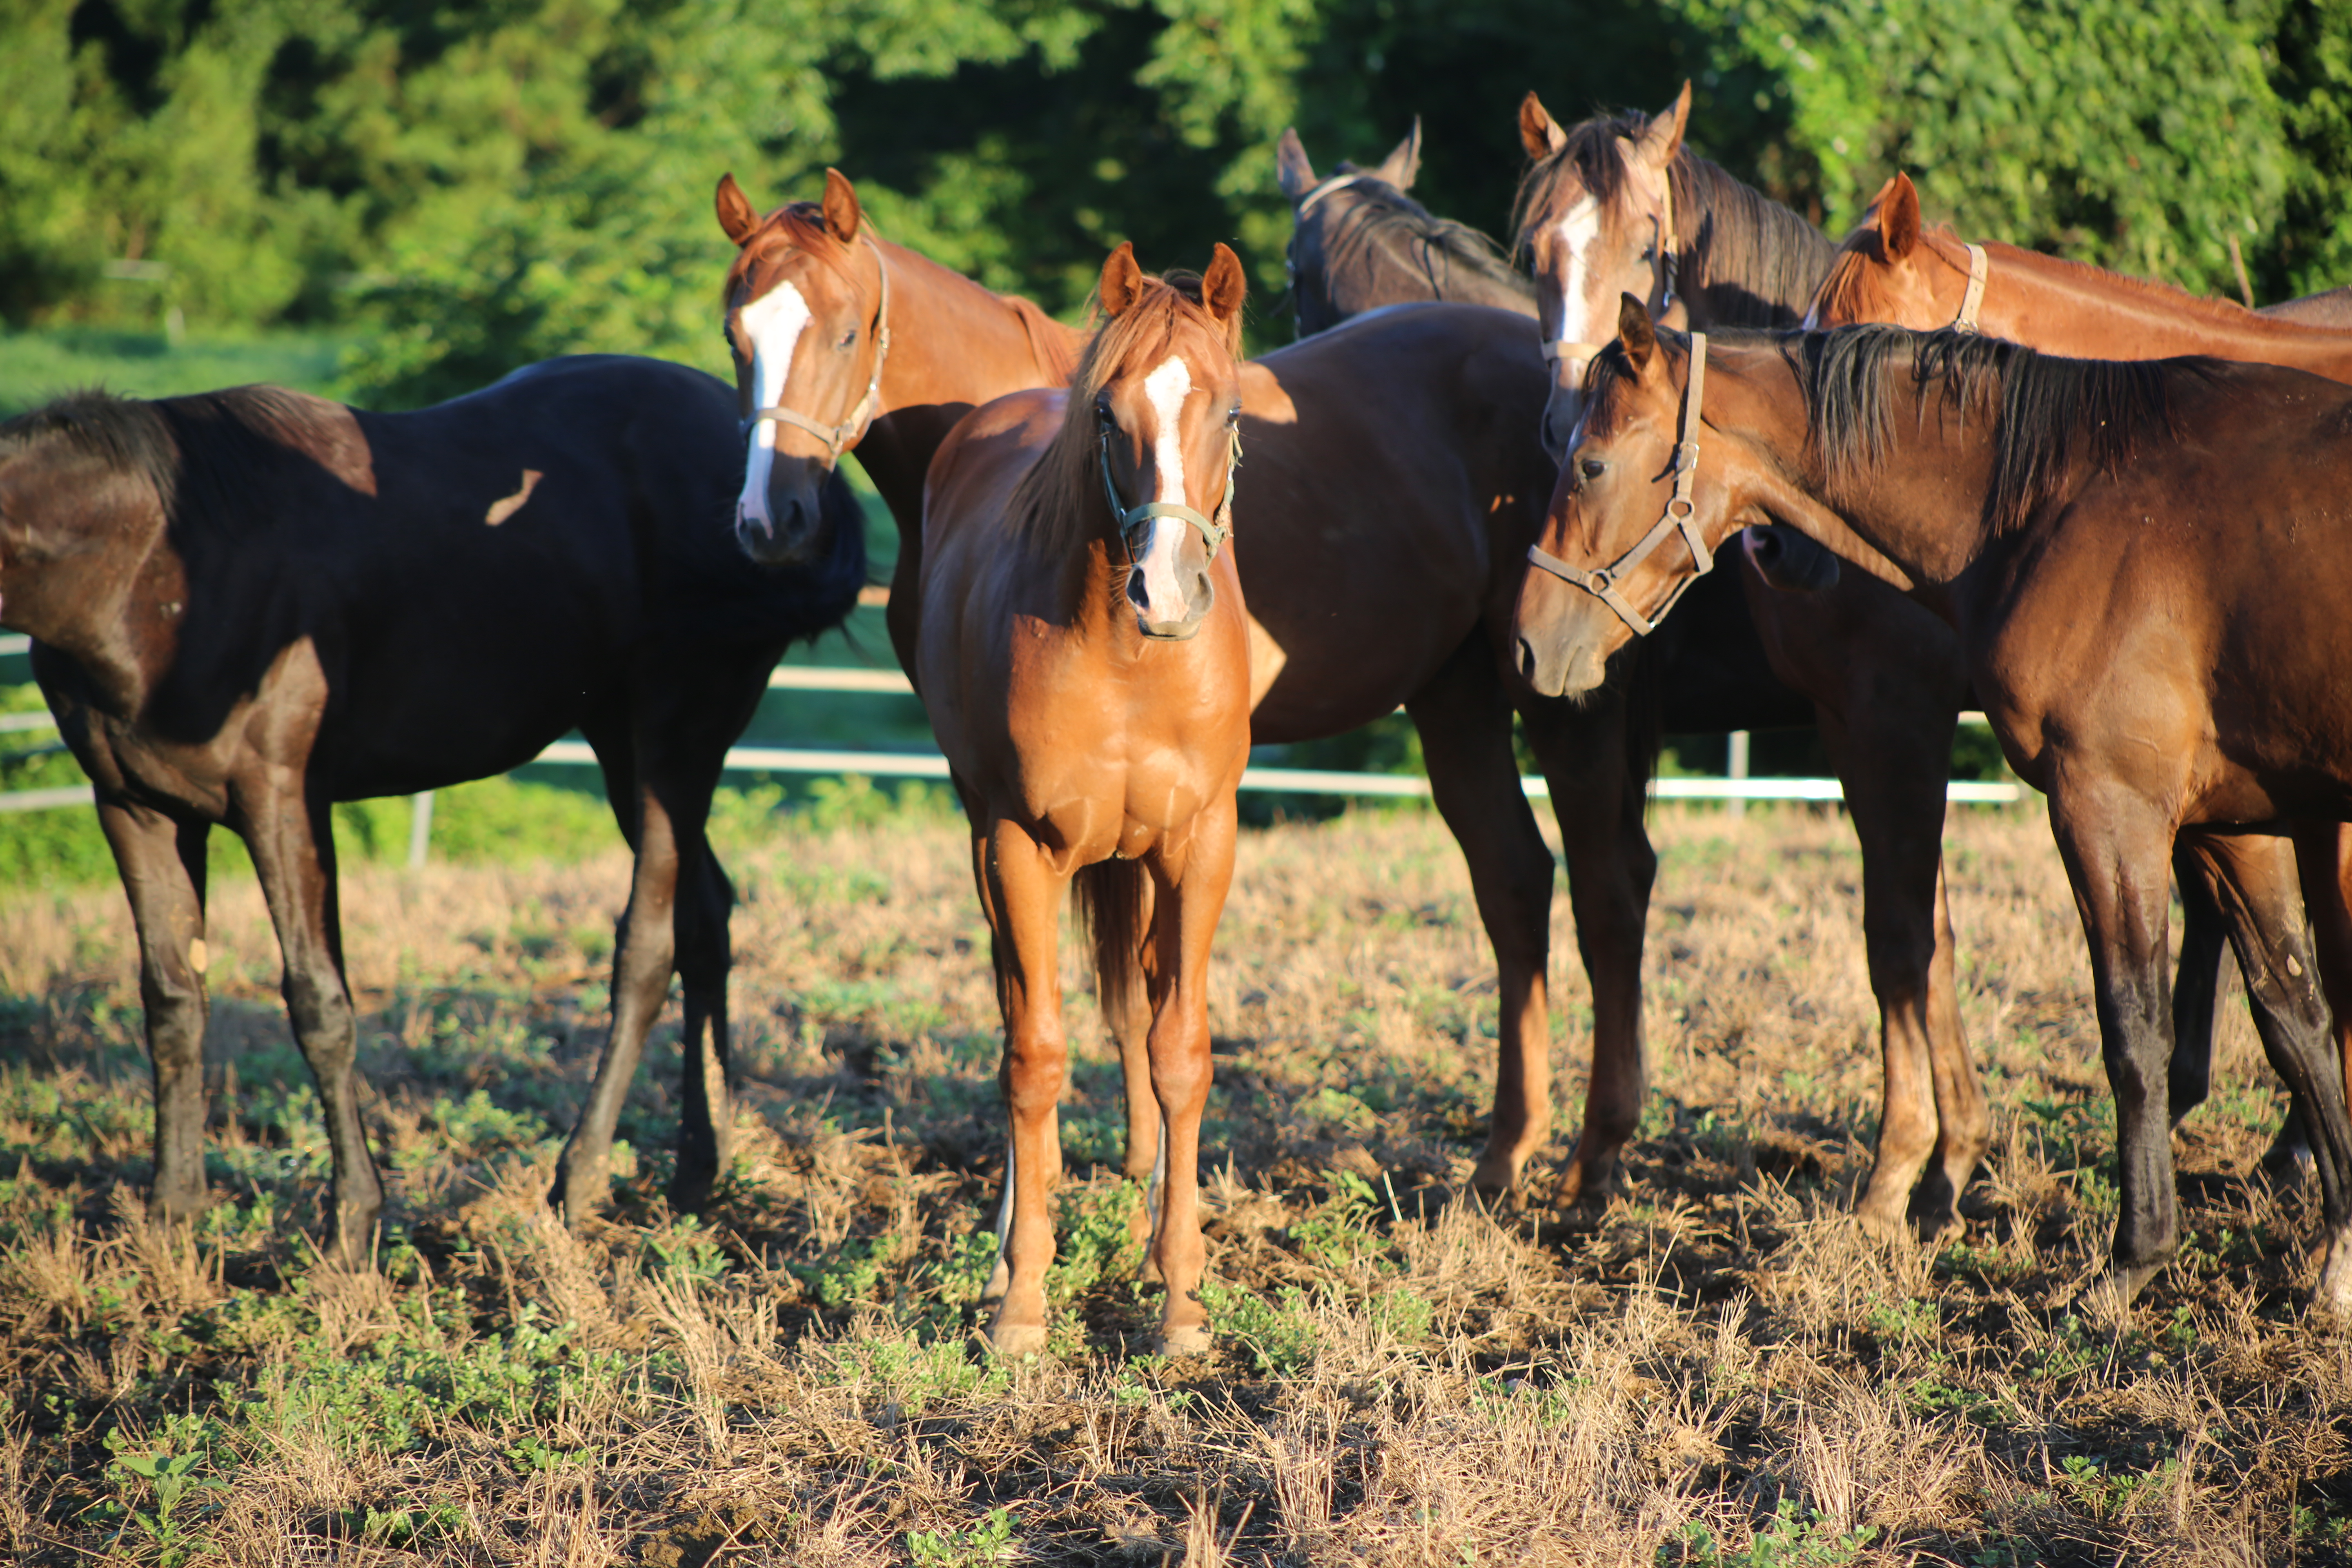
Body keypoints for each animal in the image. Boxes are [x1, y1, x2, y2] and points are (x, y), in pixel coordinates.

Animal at [0, 352, 865, 1260]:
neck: (157, 567)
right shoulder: (135, 807)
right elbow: (172, 1003)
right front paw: (171, 1217)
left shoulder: (282, 802)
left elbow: (319, 1003)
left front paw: (352, 1225)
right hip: (623, 743)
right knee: (708, 919)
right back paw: (699, 1170)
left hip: (678, 728)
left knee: (650, 946)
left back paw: (577, 1183)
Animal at [719, 172, 1618, 1213]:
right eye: (736, 335)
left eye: (845, 332)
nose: (771, 518)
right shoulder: (1007, 799)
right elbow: (1092, 983)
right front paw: (1111, 1171)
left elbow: (1131, 979)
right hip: (1454, 695)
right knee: (1515, 880)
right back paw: (1505, 1156)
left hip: (1554, 698)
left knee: (1607, 888)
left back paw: (1583, 1162)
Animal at [912, 248, 1261, 1363]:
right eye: (1108, 412)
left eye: (1231, 412)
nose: (1167, 591)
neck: (1125, 662)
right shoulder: (1017, 845)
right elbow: (1033, 1056)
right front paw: (1021, 1300)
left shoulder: (1199, 844)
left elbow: (1178, 1054)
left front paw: (1180, 1296)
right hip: (985, 841)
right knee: (1020, 1011)